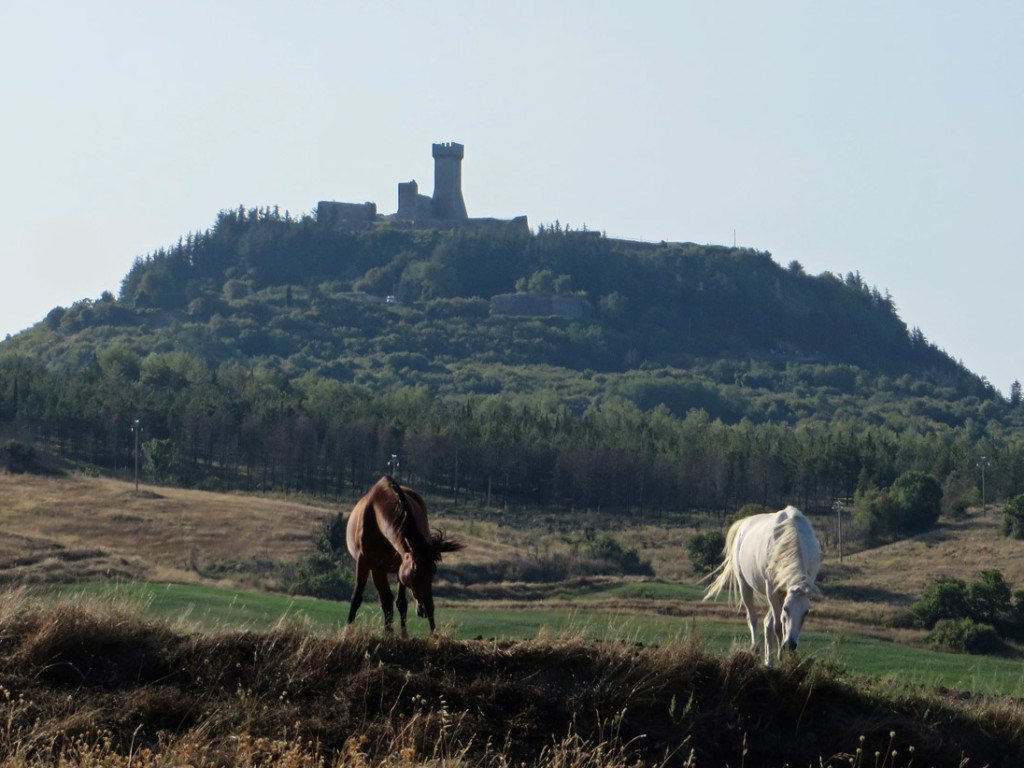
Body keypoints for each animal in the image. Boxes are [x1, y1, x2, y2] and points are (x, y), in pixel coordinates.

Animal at [346, 479, 462, 634]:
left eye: (434, 572)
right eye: (414, 572)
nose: (426, 608)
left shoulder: (399, 565)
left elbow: (401, 603)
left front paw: (403, 635)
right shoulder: (364, 562)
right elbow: (357, 598)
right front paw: (347, 634)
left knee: (392, 601)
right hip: (377, 569)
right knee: (386, 599)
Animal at [704, 505, 823, 667]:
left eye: (806, 612)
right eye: (786, 609)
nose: (790, 645)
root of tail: (744, 523)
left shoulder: (782, 591)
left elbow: (775, 625)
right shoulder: (772, 590)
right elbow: (778, 626)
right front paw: (780, 656)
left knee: (767, 623)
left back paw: (769, 661)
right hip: (744, 586)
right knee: (752, 618)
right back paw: (756, 651)